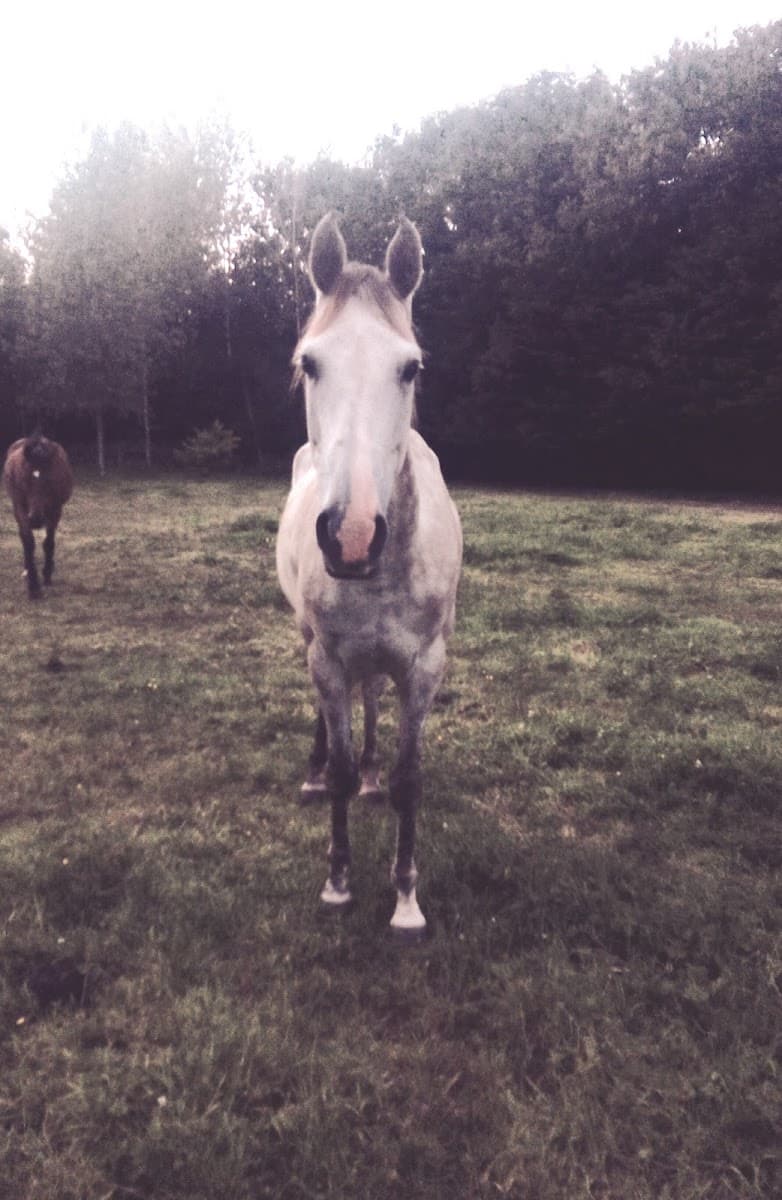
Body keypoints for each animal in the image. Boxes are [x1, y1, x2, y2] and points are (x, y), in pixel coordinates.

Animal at [3, 433, 74, 599]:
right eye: (24, 479)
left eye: (49, 480)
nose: (35, 519)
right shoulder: (20, 508)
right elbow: (28, 542)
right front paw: (33, 587)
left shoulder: (56, 510)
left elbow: (48, 542)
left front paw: (47, 574)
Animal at [276, 214, 462, 940]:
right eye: (310, 363)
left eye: (410, 367)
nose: (351, 535)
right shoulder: (326, 656)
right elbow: (341, 768)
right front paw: (339, 883)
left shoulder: (425, 664)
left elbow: (411, 779)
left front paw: (406, 898)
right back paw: (317, 771)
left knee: (374, 698)